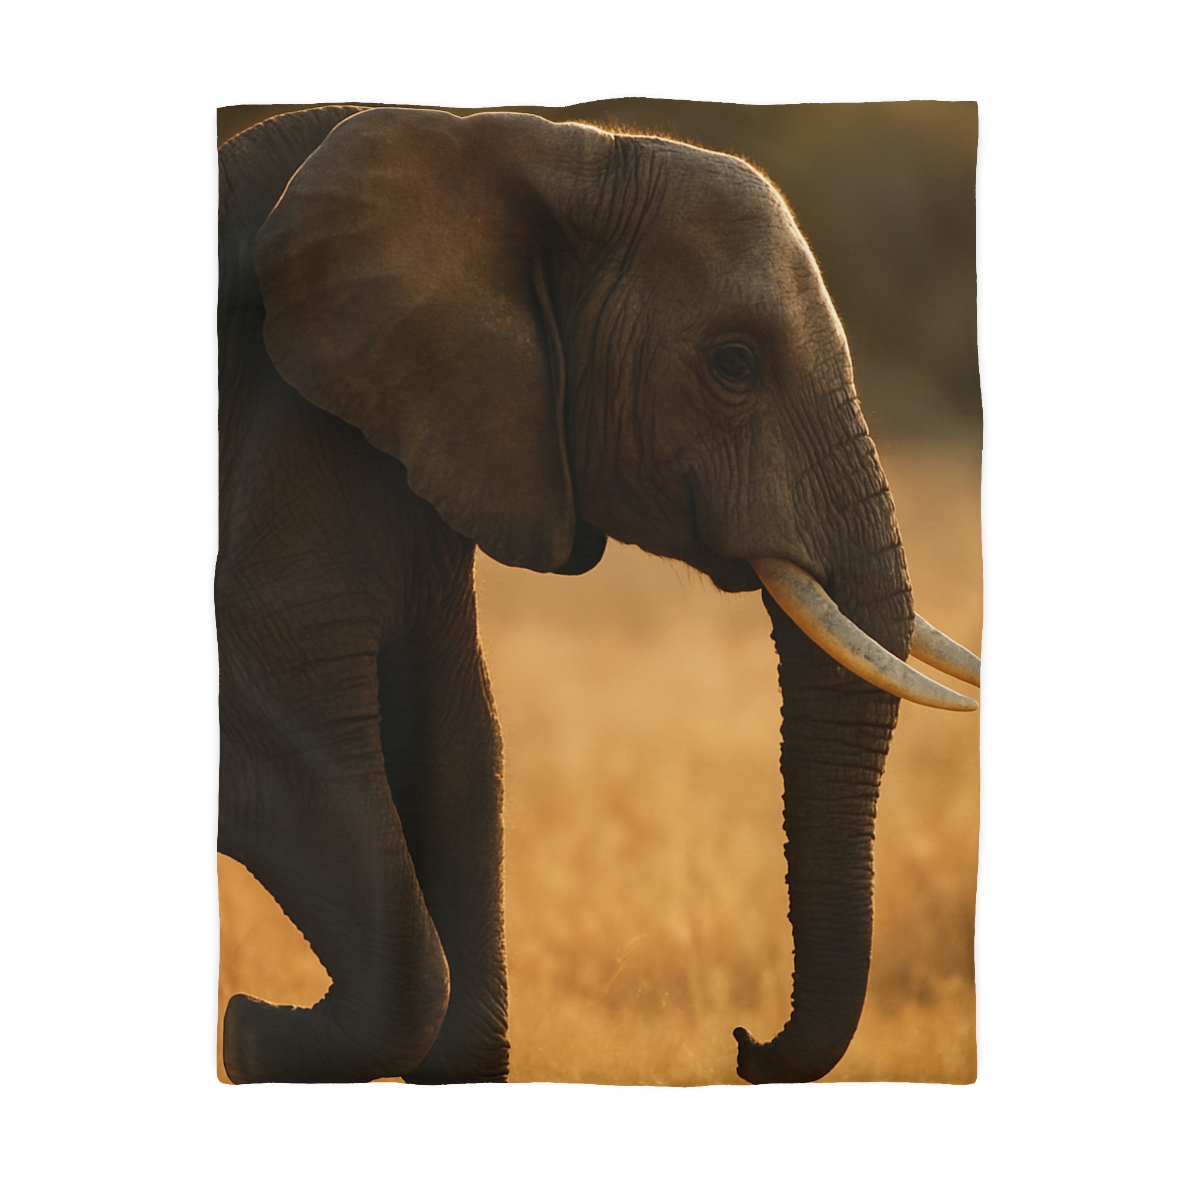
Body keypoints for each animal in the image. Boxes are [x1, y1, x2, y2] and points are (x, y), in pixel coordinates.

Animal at [216, 104, 980, 1085]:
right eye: (733, 364)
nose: (743, 1040)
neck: (539, 147)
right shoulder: (281, 439)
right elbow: (280, 751)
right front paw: (251, 1033)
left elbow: (459, 741)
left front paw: (261, 1034)